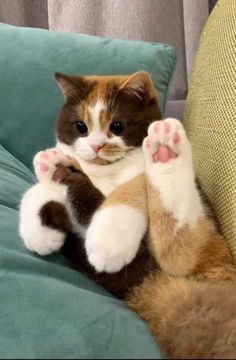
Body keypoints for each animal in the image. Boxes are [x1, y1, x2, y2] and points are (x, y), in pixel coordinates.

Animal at [19, 71, 236, 358]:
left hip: (203, 245)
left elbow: (126, 192)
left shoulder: (133, 179)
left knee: (179, 252)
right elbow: (37, 191)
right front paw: (40, 226)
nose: (97, 146)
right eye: (81, 127)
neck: (104, 174)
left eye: (117, 126)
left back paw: (164, 148)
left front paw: (108, 242)